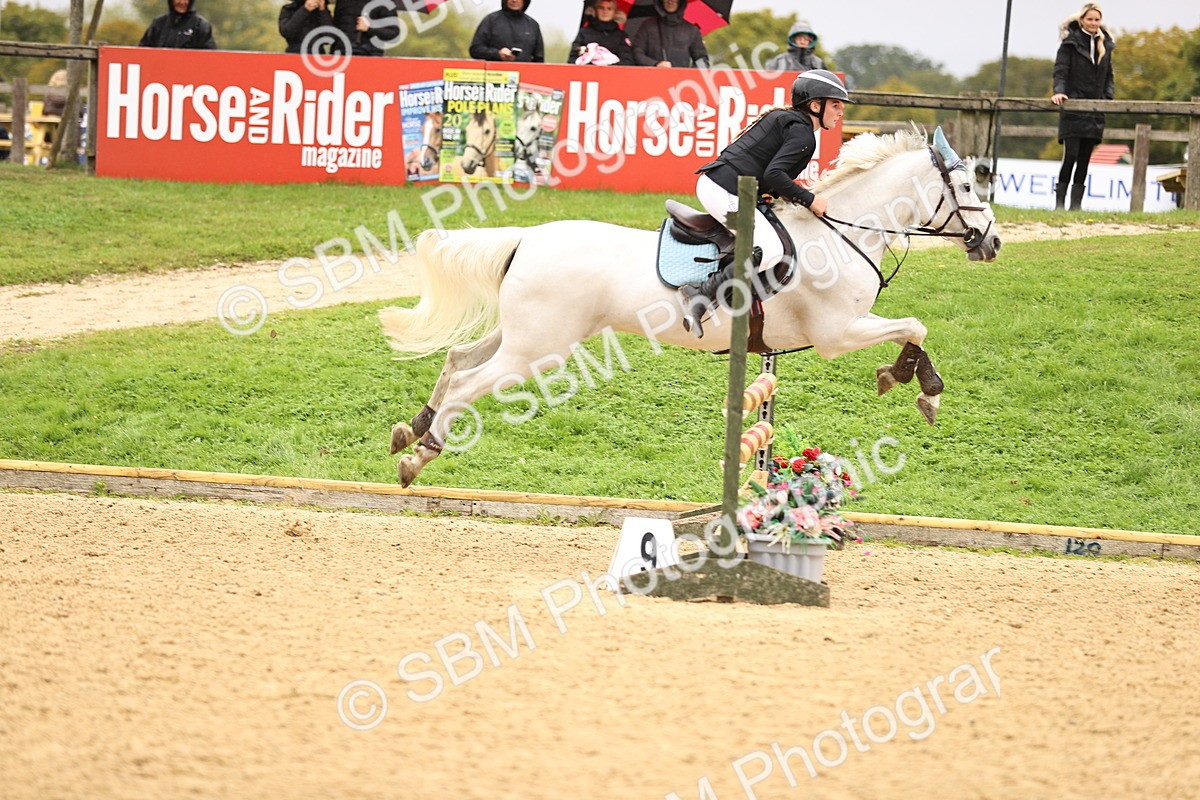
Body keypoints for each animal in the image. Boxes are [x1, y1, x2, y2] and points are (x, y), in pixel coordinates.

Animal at [378, 127, 1001, 487]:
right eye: (970, 189)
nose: (992, 243)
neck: (841, 232)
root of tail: (528, 237)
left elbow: (914, 327)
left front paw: (914, 381)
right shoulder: (837, 333)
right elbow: (915, 325)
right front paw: (916, 383)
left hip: (525, 337)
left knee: (458, 359)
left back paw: (412, 430)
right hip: (540, 348)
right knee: (468, 383)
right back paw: (419, 456)